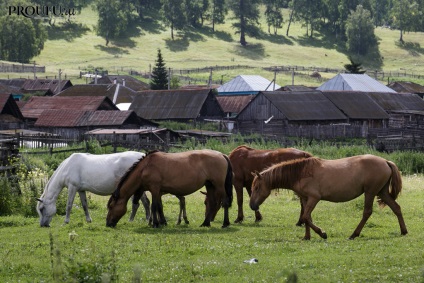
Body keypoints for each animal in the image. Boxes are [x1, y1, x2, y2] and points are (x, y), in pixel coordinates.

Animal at [250, 155, 410, 240]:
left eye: (257, 188)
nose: (252, 206)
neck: (301, 172)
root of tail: (386, 161)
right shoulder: (305, 199)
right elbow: (306, 218)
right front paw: (307, 237)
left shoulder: (314, 198)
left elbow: (306, 217)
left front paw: (322, 233)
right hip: (381, 192)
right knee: (396, 208)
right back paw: (403, 231)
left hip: (370, 192)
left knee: (367, 212)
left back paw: (354, 234)